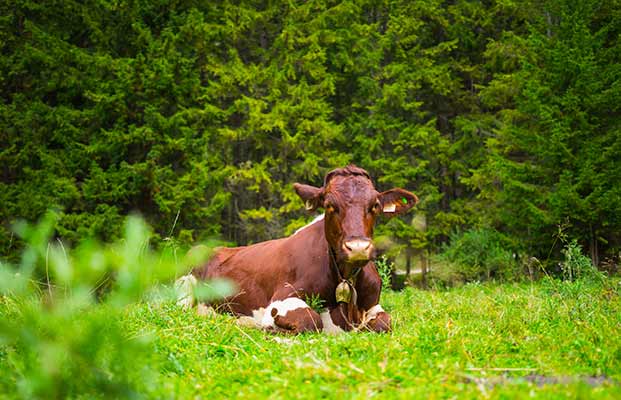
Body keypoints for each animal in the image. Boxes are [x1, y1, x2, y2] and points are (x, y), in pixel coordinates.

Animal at [176, 166, 416, 334]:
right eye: (329, 205)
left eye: (374, 205)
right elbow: (311, 320)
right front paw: (271, 330)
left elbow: (385, 322)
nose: (357, 248)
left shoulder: (374, 305)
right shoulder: (280, 299)